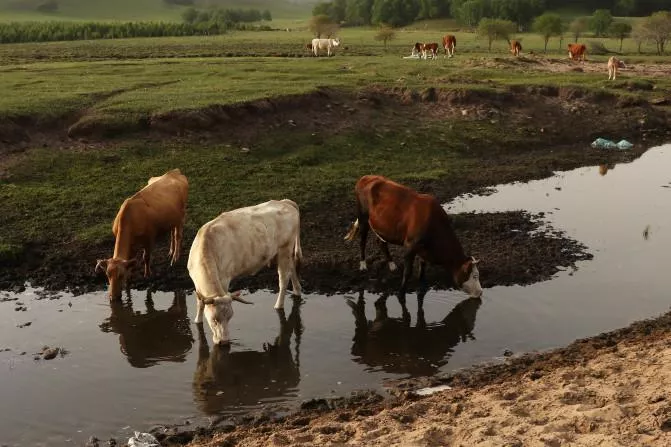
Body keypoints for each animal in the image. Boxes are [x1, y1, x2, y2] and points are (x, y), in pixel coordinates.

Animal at [94, 170, 189, 302]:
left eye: (120, 275)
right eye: (107, 275)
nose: (113, 297)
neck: (130, 219)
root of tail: (174, 172)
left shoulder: (149, 239)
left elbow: (146, 257)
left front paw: (147, 275)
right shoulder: (132, 245)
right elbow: (130, 261)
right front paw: (129, 279)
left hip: (181, 216)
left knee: (178, 236)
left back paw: (175, 258)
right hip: (172, 220)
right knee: (172, 233)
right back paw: (170, 252)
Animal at [189, 200, 304, 346]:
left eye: (230, 317)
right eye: (214, 319)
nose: (224, 342)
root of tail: (284, 202)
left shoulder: (225, 279)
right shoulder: (196, 284)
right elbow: (200, 303)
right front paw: (197, 320)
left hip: (285, 248)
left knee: (283, 278)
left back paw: (278, 306)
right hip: (284, 252)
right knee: (292, 269)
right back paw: (297, 290)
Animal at [346, 177, 484, 300]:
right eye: (475, 276)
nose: (481, 292)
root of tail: (365, 177)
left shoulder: (423, 248)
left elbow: (422, 266)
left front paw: (422, 286)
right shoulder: (410, 245)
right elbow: (408, 272)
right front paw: (401, 292)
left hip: (382, 225)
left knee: (381, 242)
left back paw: (392, 265)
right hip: (363, 216)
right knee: (362, 240)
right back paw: (363, 265)